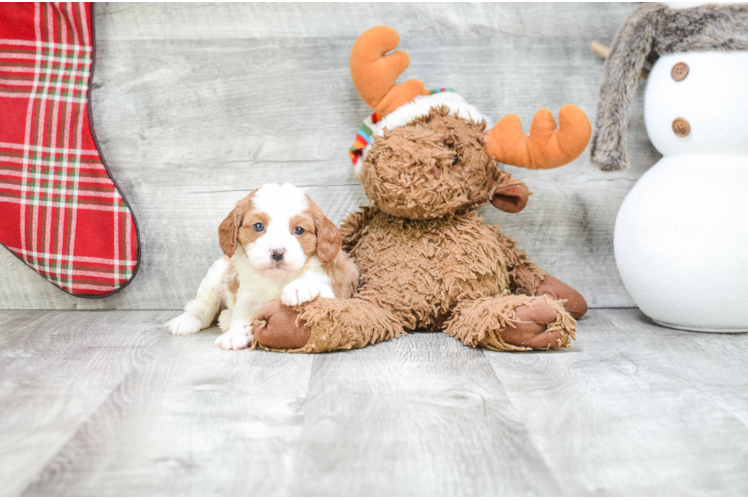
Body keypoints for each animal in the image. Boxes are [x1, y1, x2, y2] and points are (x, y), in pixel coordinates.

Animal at [167, 182, 360, 350]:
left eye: (299, 230)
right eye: (258, 226)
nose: (277, 252)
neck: (276, 279)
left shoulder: (333, 292)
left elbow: (318, 289)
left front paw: (299, 287)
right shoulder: (247, 295)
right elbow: (242, 315)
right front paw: (235, 334)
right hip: (217, 271)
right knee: (203, 303)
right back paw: (188, 320)